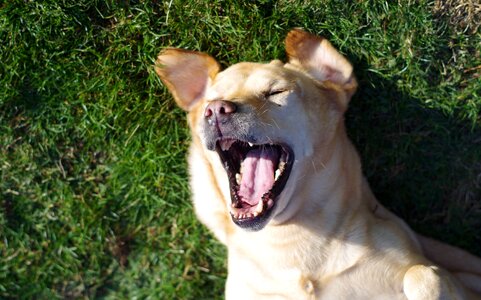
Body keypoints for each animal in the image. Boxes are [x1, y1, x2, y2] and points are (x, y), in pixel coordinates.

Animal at [155, 28, 480, 300]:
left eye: (276, 92)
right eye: (210, 100)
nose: (215, 109)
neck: (291, 241)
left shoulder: (449, 277)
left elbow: (422, 275)